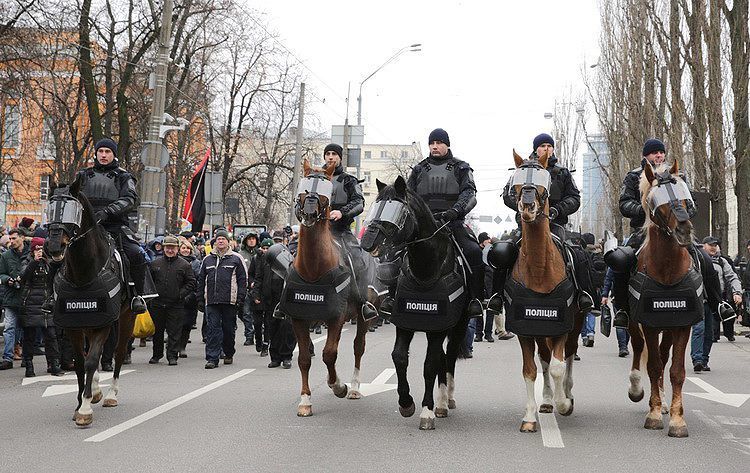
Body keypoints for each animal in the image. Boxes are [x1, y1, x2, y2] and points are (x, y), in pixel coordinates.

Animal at [44, 177, 136, 428]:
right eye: (50, 208)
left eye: (74, 211)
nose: (54, 247)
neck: (82, 274)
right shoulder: (74, 325)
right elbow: (79, 362)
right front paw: (79, 403)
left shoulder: (103, 324)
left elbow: (92, 360)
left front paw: (84, 409)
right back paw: (95, 390)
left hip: (125, 318)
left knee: (118, 352)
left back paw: (111, 394)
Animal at [290, 159, 378, 416]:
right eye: (303, 188)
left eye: (325, 193)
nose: (309, 213)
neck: (313, 269)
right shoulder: (298, 318)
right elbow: (304, 359)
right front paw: (305, 401)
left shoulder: (336, 317)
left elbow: (329, 354)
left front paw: (338, 386)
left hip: (363, 317)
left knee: (358, 347)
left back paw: (355, 388)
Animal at [360, 175, 470, 430]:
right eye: (376, 207)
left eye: (398, 213)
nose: (367, 242)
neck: (425, 271)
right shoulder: (406, 323)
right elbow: (399, 358)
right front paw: (406, 402)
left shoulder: (438, 328)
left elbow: (429, 366)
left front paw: (426, 411)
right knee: (443, 359)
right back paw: (441, 402)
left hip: (459, 326)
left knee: (449, 358)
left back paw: (445, 400)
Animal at [508, 150, 592, 432]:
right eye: (516, 182)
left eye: (544, 180)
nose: (527, 207)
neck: (539, 269)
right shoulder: (525, 329)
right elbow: (530, 370)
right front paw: (530, 416)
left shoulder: (562, 326)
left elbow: (557, 366)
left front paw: (564, 403)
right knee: (544, 358)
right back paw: (546, 400)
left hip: (576, 323)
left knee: (569, 355)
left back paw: (566, 393)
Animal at [624, 159, 700, 436]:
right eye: (656, 200)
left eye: (685, 196)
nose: (684, 230)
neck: (667, 270)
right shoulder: (647, 323)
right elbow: (653, 365)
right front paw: (654, 414)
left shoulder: (682, 324)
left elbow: (675, 370)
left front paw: (677, 419)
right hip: (634, 322)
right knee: (638, 349)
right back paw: (637, 389)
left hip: (668, 328)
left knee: (664, 355)